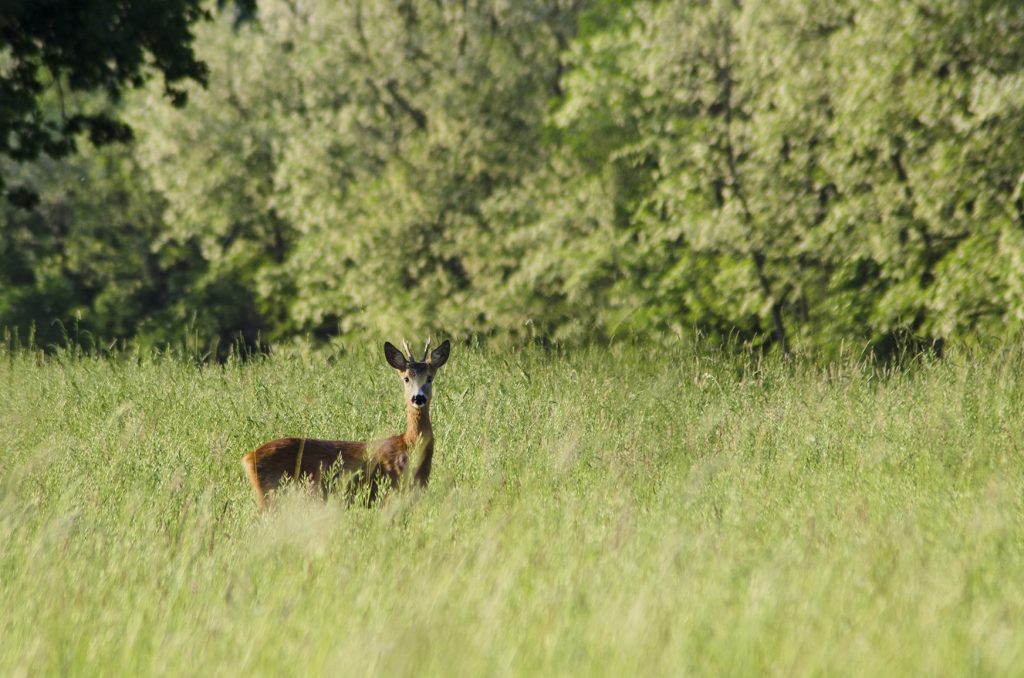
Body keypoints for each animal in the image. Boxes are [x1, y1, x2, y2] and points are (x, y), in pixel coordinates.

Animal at [241, 340, 450, 510]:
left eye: (430, 377)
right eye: (406, 378)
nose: (418, 398)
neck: (409, 445)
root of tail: (247, 458)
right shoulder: (391, 492)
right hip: (271, 494)